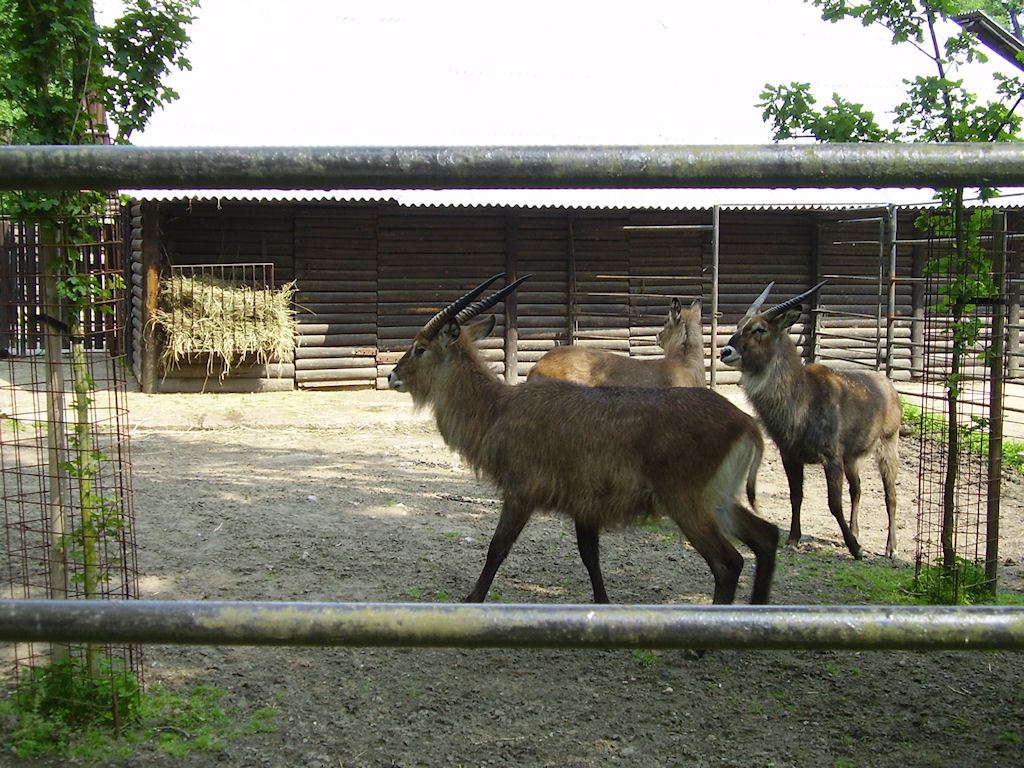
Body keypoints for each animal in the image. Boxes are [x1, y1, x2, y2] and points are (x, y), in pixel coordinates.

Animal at [719, 281, 901, 559]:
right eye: (739, 324)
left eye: (760, 329)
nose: (725, 351)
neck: (803, 397)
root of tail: (888, 384)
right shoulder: (790, 455)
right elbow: (796, 495)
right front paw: (794, 538)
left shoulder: (832, 457)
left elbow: (834, 504)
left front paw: (856, 549)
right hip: (852, 458)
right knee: (857, 489)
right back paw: (856, 531)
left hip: (887, 446)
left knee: (890, 495)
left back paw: (891, 548)